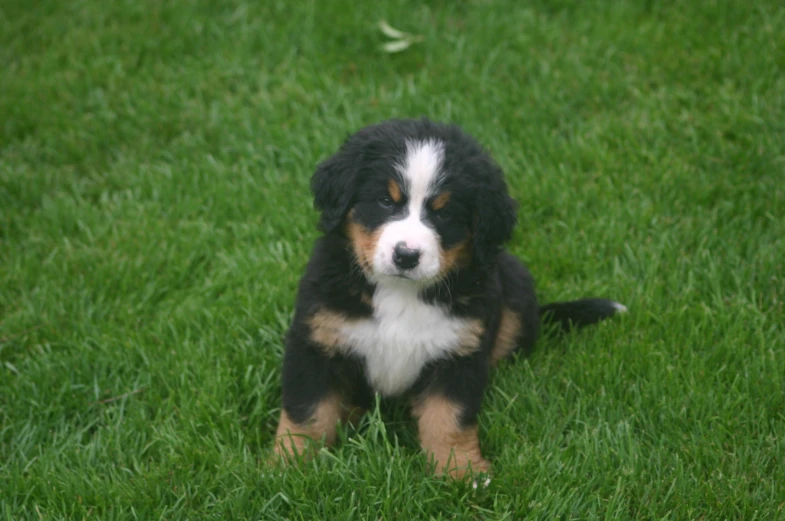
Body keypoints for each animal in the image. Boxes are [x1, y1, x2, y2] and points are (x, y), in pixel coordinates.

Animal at [272, 118, 624, 480]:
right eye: (385, 201)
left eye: (444, 213)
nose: (406, 255)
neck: (400, 292)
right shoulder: (316, 341)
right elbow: (308, 413)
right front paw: (289, 467)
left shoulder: (459, 351)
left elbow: (449, 418)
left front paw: (461, 471)